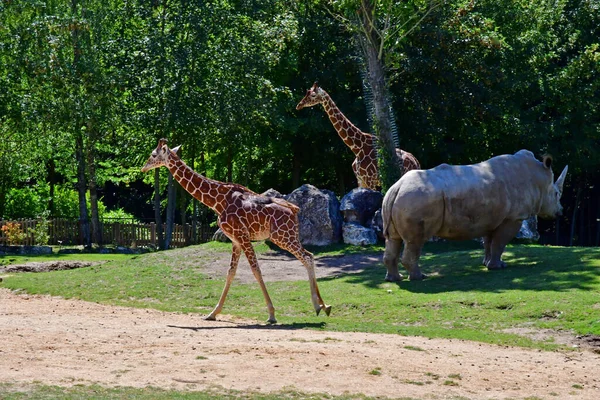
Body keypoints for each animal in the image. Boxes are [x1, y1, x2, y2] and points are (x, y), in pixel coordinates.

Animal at [142, 139, 332, 324]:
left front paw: (271, 314)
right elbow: (230, 273)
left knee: (307, 257)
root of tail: (294, 210)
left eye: (153, 154)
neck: (217, 201)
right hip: (287, 236)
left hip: (283, 237)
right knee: (310, 255)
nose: (144, 167)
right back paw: (324, 306)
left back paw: (318, 306)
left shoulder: (242, 236)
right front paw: (212, 313)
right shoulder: (235, 240)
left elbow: (256, 270)